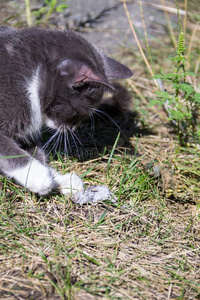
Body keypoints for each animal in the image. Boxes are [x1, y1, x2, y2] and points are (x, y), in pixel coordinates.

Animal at [0, 27, 133, 197]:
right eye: (79, 113)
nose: (72, 128)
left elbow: (36, 152)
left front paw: (61, 180)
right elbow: (9, 150)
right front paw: (39, 177)